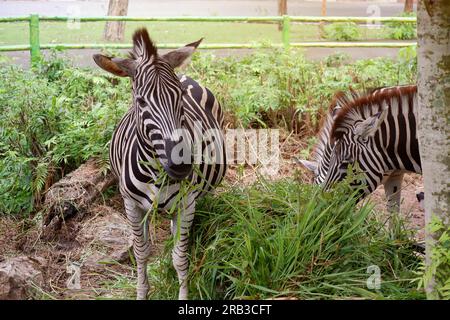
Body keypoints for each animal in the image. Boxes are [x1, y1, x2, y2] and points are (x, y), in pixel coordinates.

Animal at [92, 28, 227, 300]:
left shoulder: (187, 204)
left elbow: (180, 258)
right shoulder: (131, 205)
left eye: (181, 97)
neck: (156, 172)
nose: (181, 165)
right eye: (141, 101)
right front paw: (142, 292)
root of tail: (186, 74)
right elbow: (141, 253)